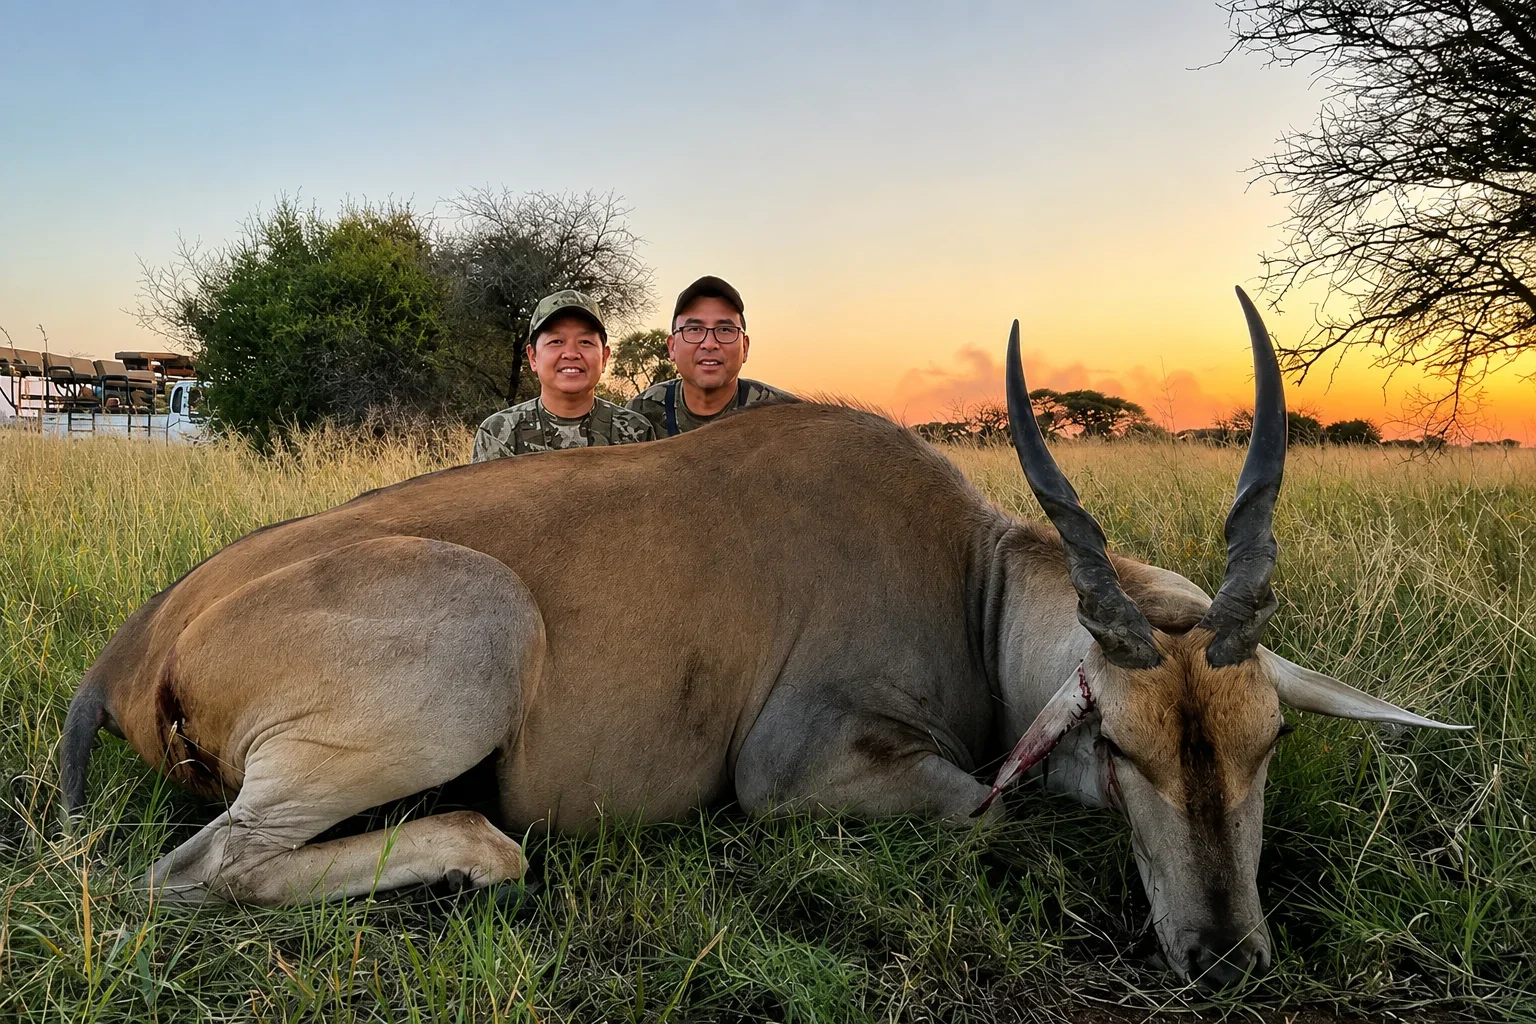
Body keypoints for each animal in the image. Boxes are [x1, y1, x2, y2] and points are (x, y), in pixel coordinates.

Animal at [59, 289, 1465, 988]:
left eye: (1266, 740)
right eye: (1119, 749)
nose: (1224, 959)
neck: (969, 571)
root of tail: (135, 650)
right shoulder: (795, 771)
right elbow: (981, 806)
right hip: (475, 649)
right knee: (195, 871)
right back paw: (470, 848)